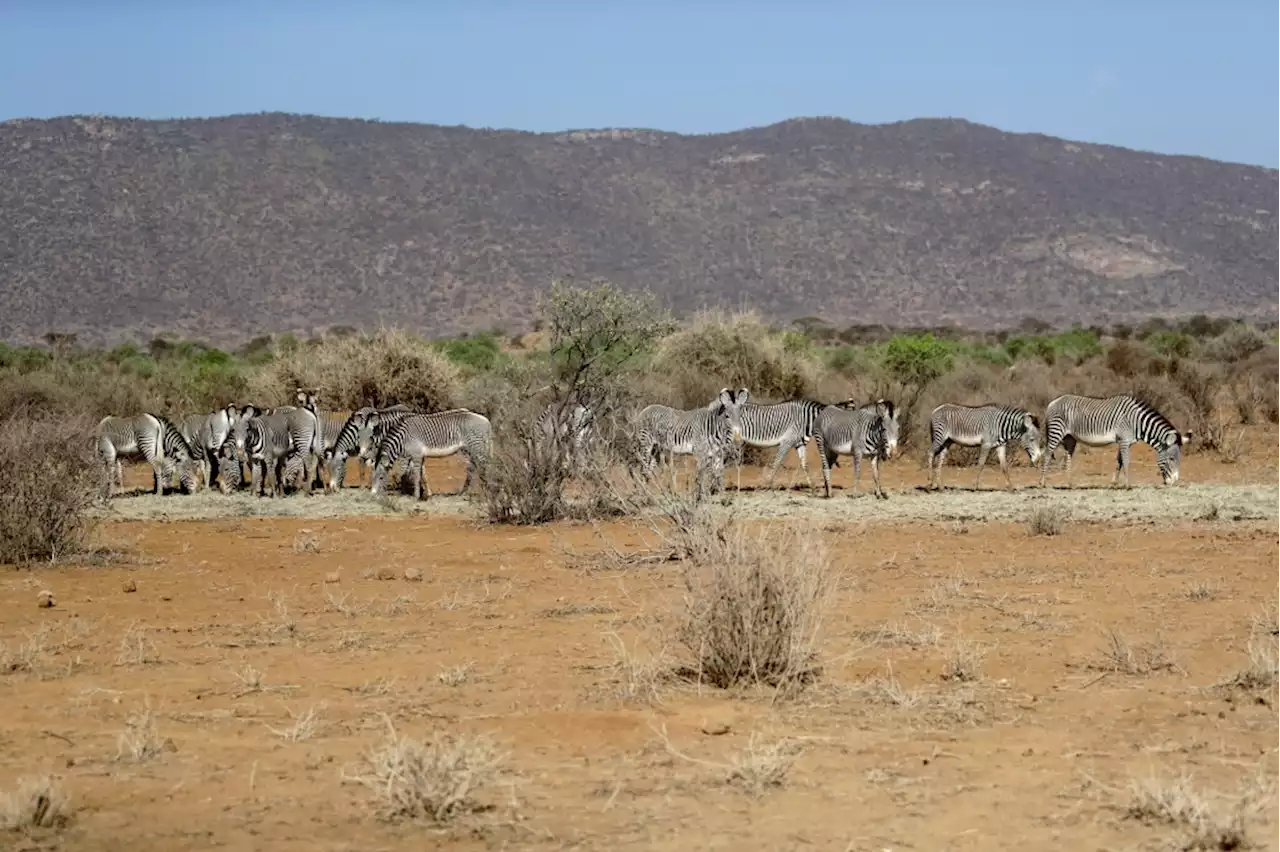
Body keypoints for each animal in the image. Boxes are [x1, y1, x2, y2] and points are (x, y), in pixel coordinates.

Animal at [1034, 391, 1192, 483]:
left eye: (1178, 459)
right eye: (1171, 459)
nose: (1174, 482)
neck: (1137, 421)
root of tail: (1052, 402)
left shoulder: (1125, 441)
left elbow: (1119, 461)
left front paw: (1114, 483)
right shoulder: (1124, 440)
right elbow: (1126, 461)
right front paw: (1127, 484)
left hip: (1069, 437)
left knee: (1067, 456)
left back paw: (1069, 483)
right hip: (1056, 431)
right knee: (1047, 454)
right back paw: (1042, 482)